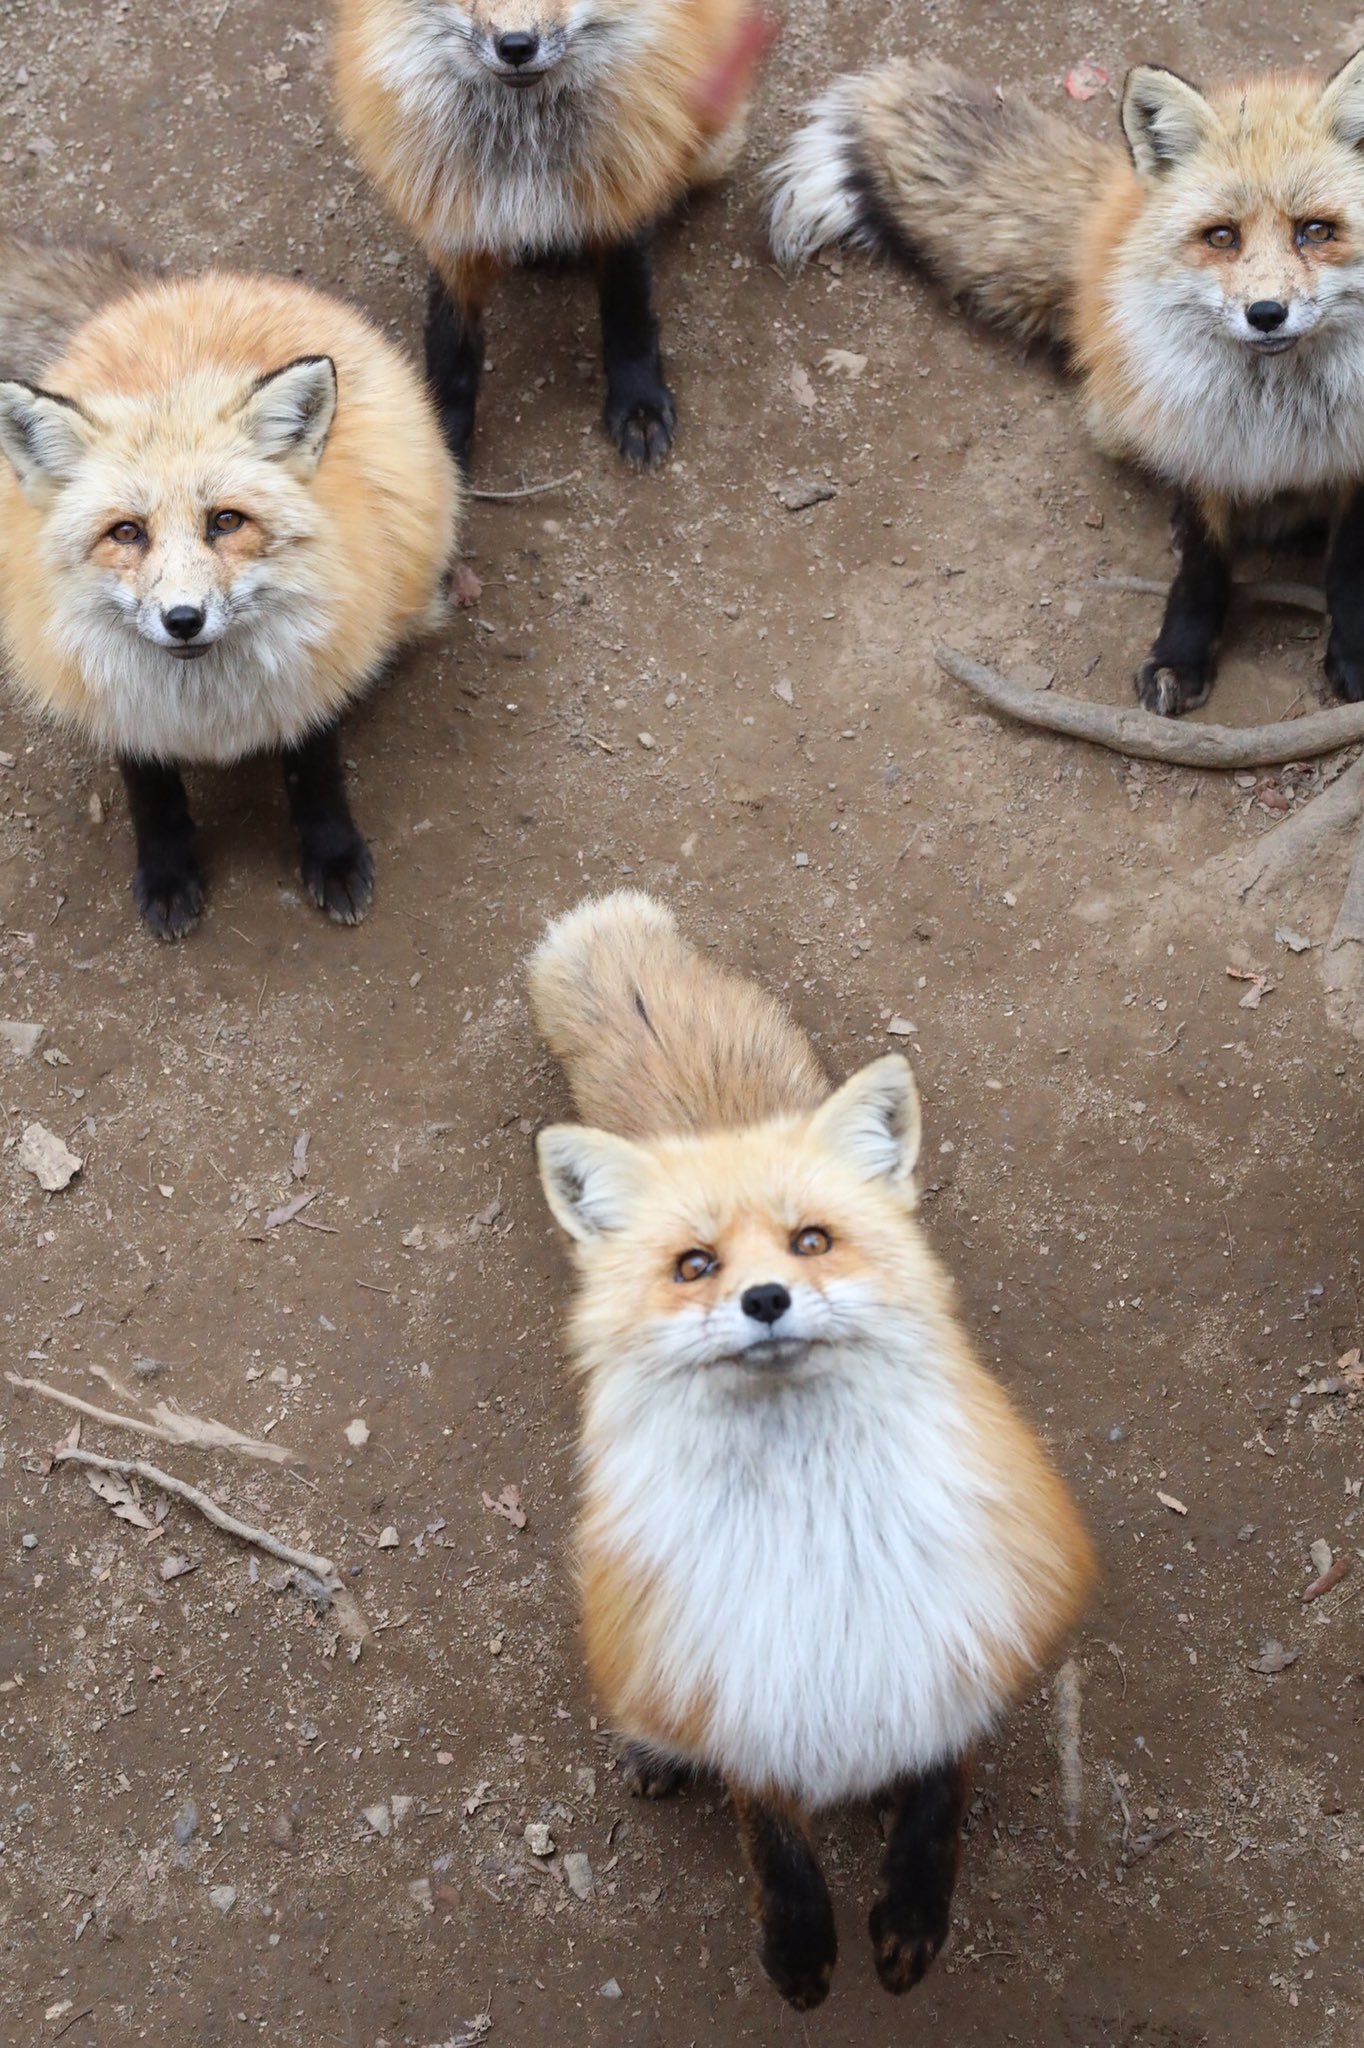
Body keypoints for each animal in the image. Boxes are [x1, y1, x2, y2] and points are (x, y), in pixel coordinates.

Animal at [0, 237, 458, 937]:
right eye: (126, 531)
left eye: (225, 521)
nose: (183, 619)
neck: (205, 710)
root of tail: (199, 285)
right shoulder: (118, 698)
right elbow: (153, 798)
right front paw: (167, 875)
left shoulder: (313, 662)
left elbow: (316, 776)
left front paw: (334, 858)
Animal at [524, 888, 1089, 2007]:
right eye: (694, 1265)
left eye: (812, 1241)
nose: (765, 1298)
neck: (818, 1538)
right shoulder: (742, 1662)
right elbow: (770, 1834)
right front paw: (798, 1944)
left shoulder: (953, 1620)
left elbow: (938, 1800)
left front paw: (911, 1917)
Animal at [765, 51, 1364, 720]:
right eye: (1221, 236)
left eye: (1317, 231)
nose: (1265, 313)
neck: (1280, 410)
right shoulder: (1198, 439)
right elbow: (1203, 566)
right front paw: (1180, 655)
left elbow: (1350, 567)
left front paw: (1355, 655)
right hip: (1120, 408)